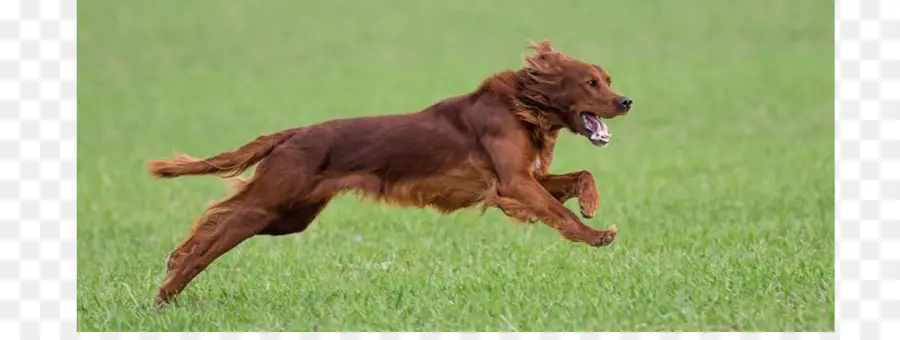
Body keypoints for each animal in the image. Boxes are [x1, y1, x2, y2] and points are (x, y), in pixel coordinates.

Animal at [146, 39, 632, 306]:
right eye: (591, 83)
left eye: (608, 80)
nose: (627, 101)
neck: (523, 105)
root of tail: (294, 133)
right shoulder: (514, 183)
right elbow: (559, 213)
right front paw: (595, 235)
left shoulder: (521, 181)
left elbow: (583, 175)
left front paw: (591, 204)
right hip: (270, 204)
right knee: (213, 231)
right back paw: (167, 289)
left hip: (289, 216)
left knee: (215, 220)